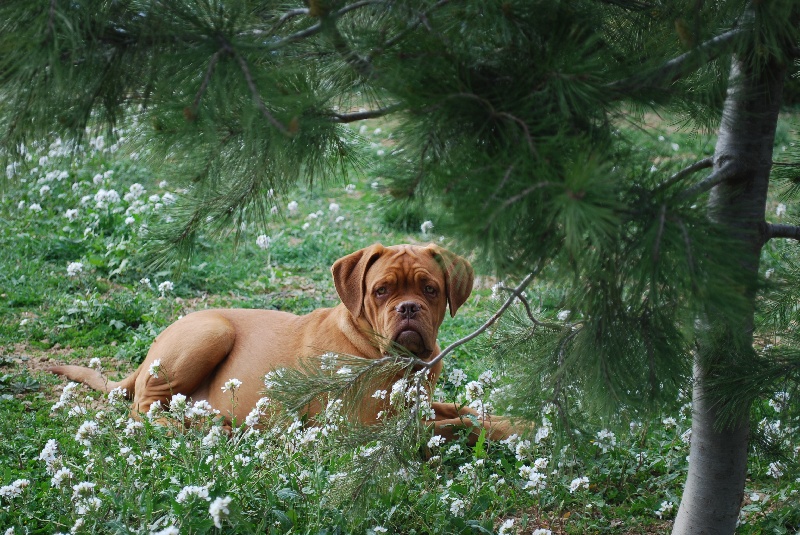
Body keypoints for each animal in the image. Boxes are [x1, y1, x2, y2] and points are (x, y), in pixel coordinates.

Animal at [50, 245, 512, 442]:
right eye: (381, 291)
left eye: (430, 289)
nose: (409, 308)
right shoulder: (363, 426)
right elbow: (460, 423)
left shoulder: (418, 405)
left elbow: (467, 410)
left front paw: (514, 424)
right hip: (210, 332)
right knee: (143, 409)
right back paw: (190, 426)